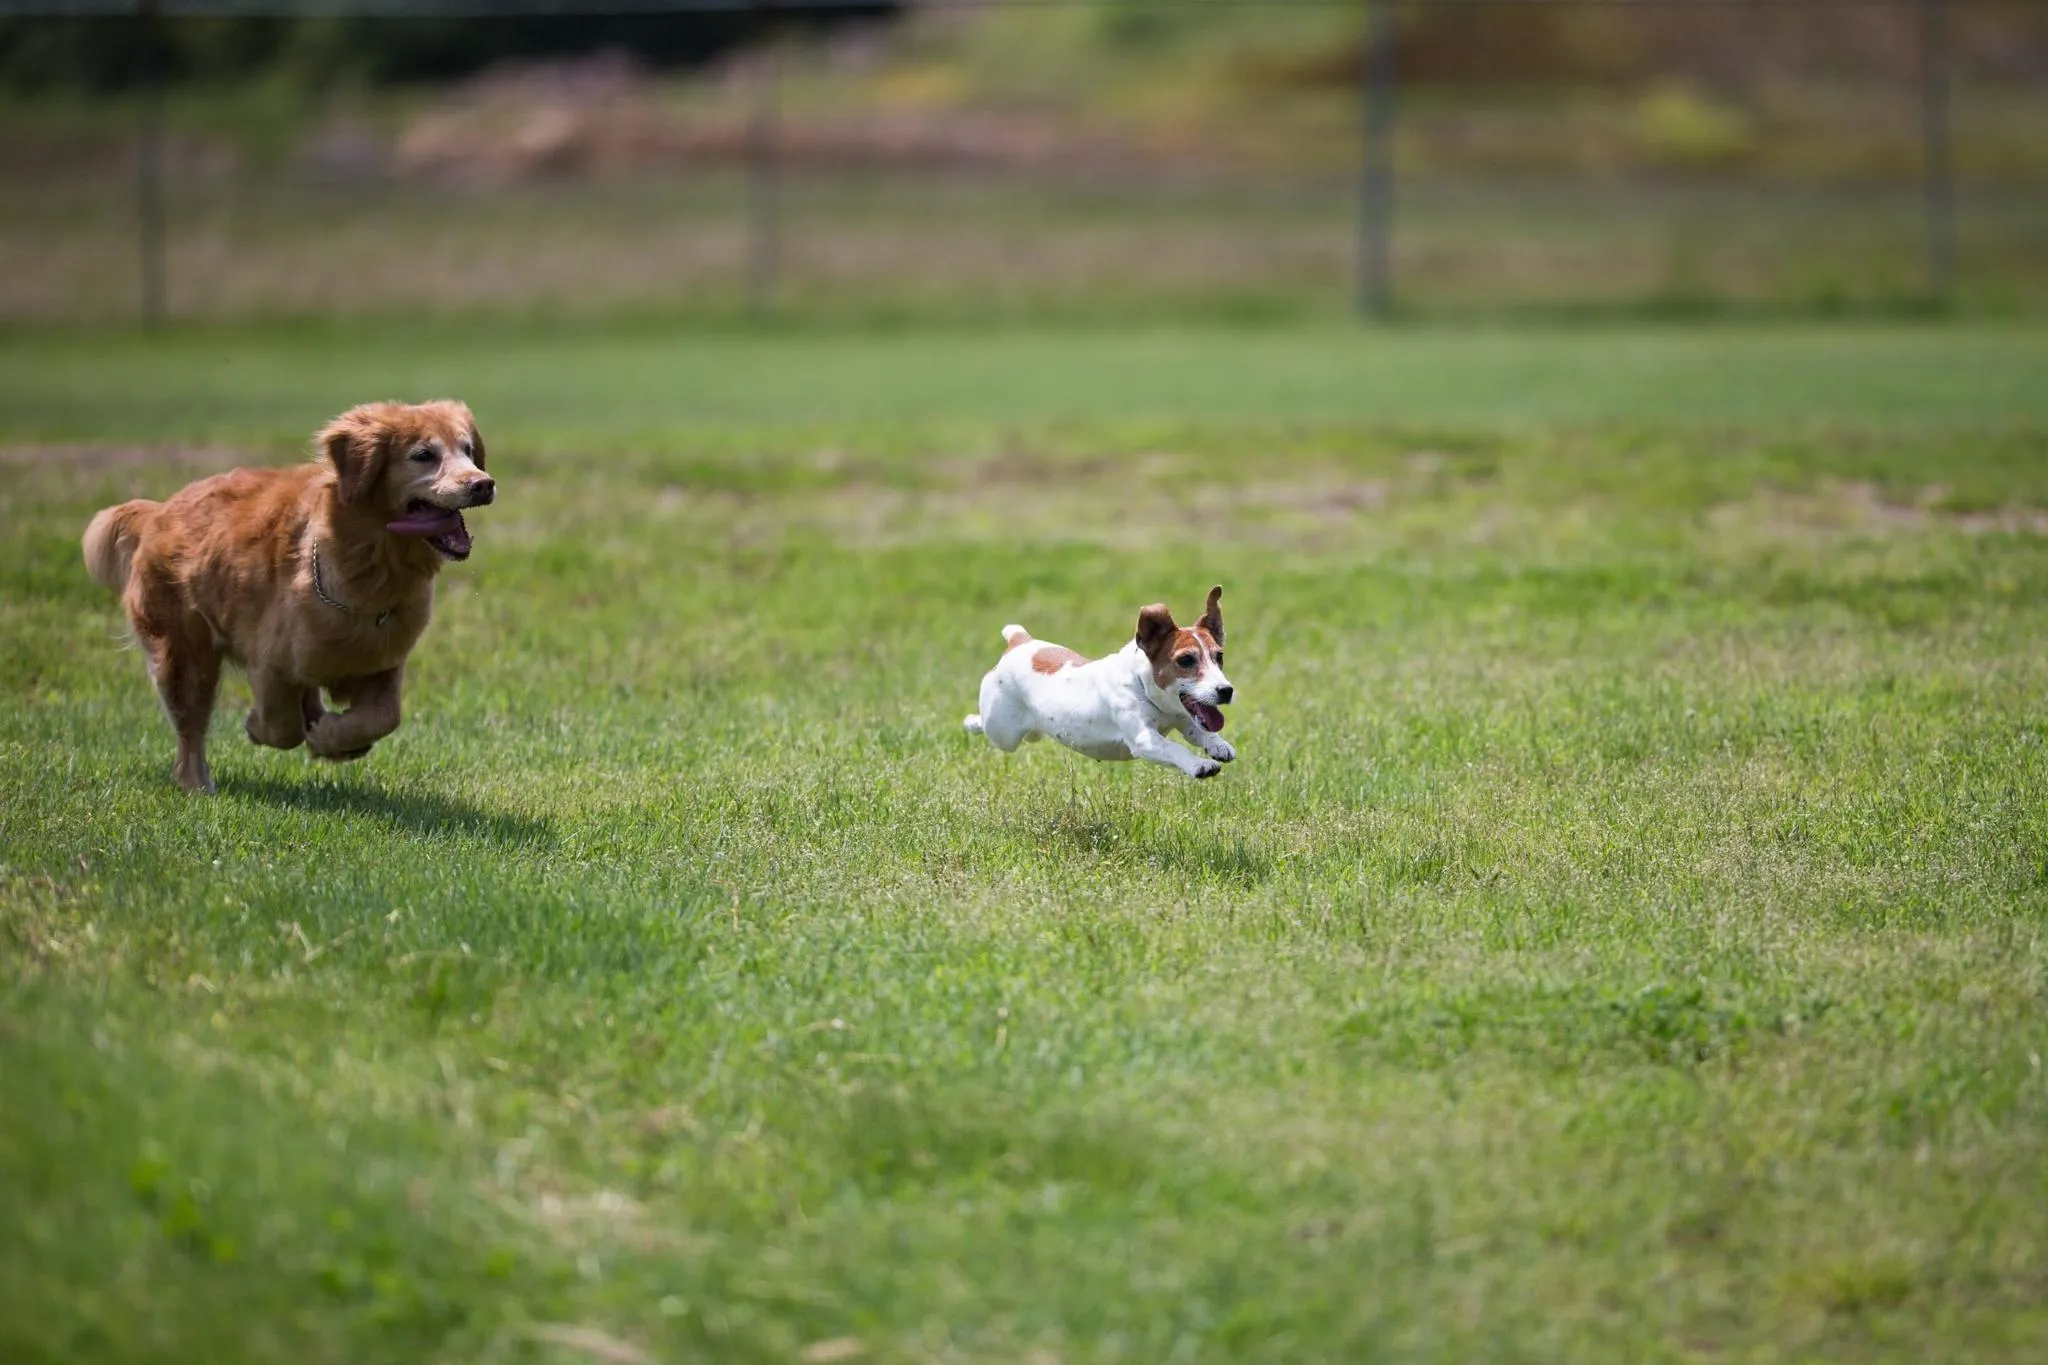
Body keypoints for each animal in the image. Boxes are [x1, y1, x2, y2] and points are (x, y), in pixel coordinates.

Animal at [80, 401, 499, 794]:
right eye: (424, 455)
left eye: (467, 450)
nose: (484, 484)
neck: (371, 564)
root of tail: (158, 512)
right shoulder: (271, 664)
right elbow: (283, 727)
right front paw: (264, 727)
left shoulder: (382, 660)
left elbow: (384, 717)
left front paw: (333, 739)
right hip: (184, 656)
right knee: (190, 732)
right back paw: (198, 786)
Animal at [958, 585, 1228, 777]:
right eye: (1185, 660)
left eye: (1219, 656)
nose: (1227, 690)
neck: (1141, 685)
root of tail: (1020, 641)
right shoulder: (1145, 739)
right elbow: (1175, 748)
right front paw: (1200, 765)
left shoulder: (1185, 718)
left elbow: (1201, 732)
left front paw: (1219, 746)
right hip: (1003, 731)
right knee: (985, 725)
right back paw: (970, 722)